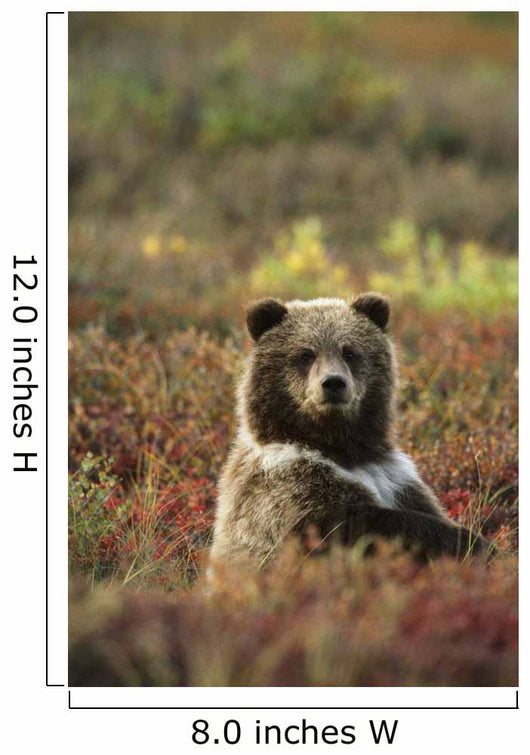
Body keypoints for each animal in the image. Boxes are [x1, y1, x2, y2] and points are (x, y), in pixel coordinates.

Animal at [209, 294, 489, 570]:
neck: (342, 448)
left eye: (350, 352)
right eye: (305, 354)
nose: (333, 382)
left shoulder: (395, 478)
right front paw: (470, 543)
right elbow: (345, 525)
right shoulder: (285, 485)